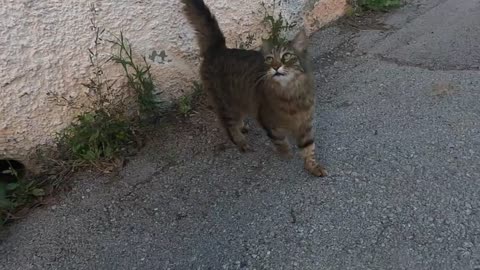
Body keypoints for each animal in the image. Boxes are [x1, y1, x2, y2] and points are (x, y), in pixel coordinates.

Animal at [182, 0, 328, 177]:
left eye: (286, 56)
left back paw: (243, 127)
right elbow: (279, 140)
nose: (276, 67)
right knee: (228, 126)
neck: (291, 94)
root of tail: (219, 48)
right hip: (226, 104)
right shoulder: (266, 120)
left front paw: (313, 167)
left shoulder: (305, 124)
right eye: (269, 59)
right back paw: (241, 142)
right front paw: (286, 154)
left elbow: (308, 148)